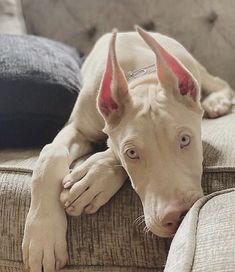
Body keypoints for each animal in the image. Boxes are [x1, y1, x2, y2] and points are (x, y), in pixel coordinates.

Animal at [22, 27, 233, 272]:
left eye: (184, 139)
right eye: (131, 153)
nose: (177, 215)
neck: (142, 81)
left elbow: (108, 151)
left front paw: (93, 178)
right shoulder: (77, 127)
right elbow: (51, 154)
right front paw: (42, 236)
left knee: (218, 82)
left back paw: (216, 101)